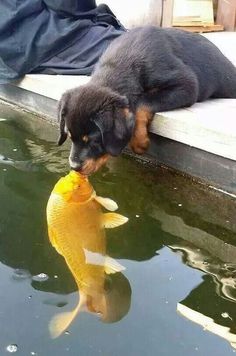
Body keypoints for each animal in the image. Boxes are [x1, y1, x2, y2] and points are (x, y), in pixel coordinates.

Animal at [57, 25, 236, 175]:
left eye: (93, 141)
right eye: (70, 136)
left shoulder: (187, 85)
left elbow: (142, 102)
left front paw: (139, 142)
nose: (74, 167)